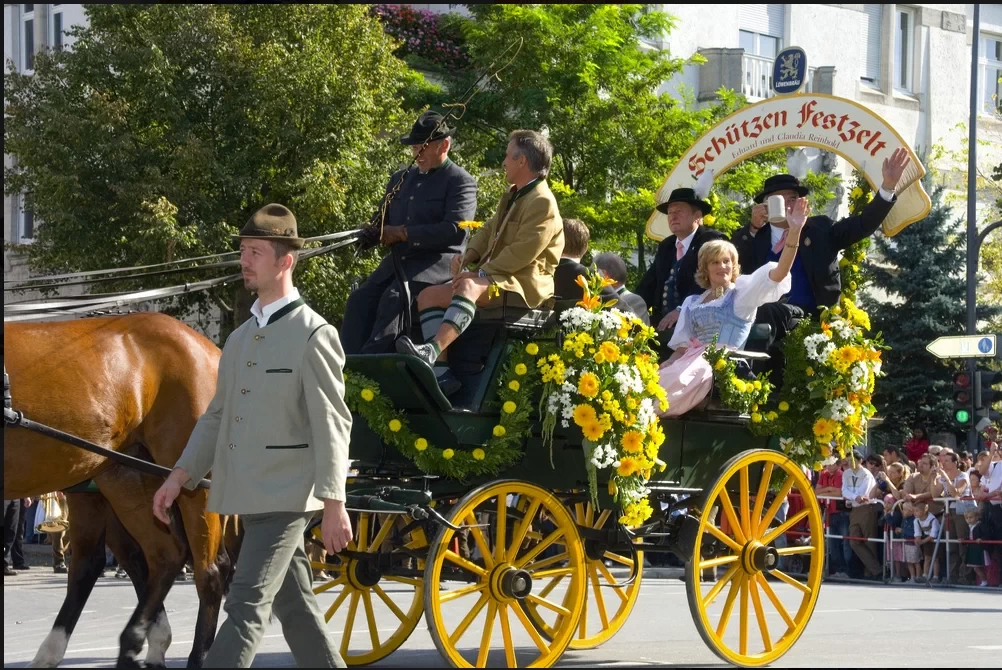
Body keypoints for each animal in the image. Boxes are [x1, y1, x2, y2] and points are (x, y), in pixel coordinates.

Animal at [4, 312, 227, 664]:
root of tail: (211, 350)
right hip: (126, 476)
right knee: (160, 555)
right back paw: (131, 641)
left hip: (191, 480)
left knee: (209, 573)